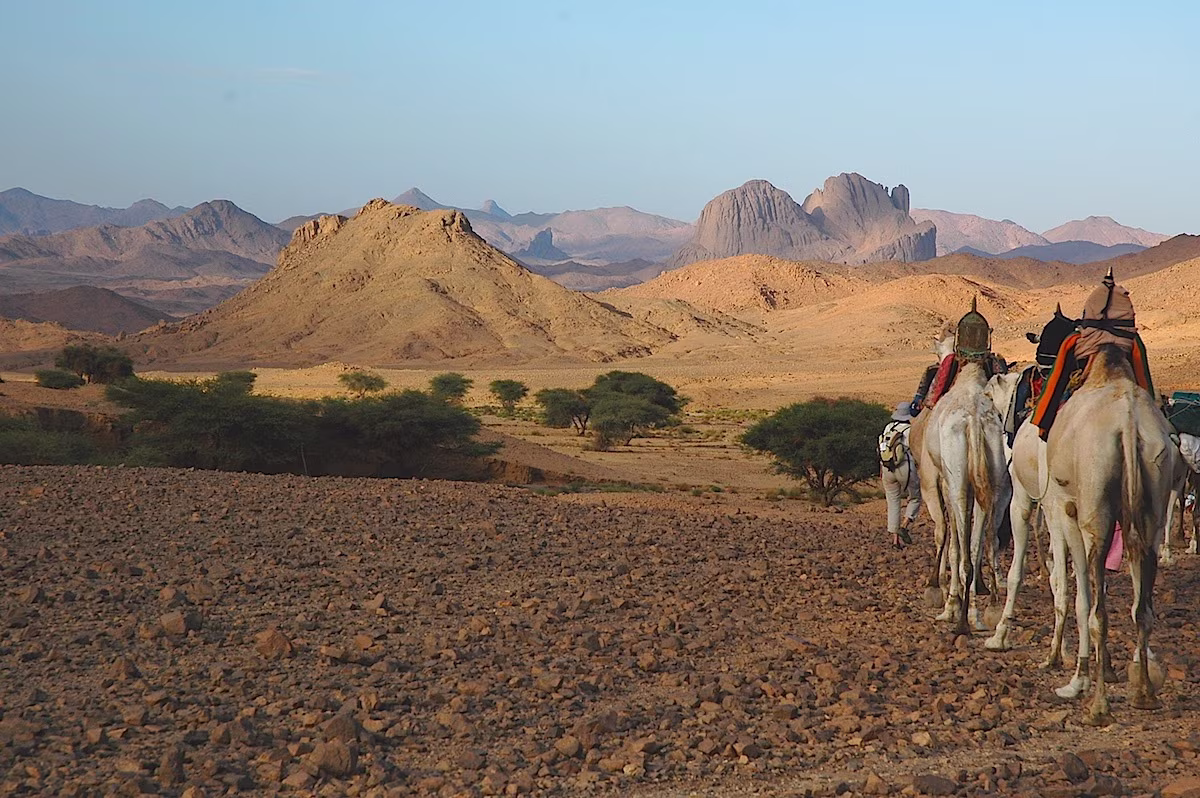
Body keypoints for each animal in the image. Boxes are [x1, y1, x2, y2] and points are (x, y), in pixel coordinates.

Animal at [1041, 344, 1181, 724]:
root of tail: (1128, 424)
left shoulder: (1068, 507)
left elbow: (1082, 596)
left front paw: (1082, 677)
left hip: (1096, 504)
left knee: (1098, 614)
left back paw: (1098, 707)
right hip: (1153, 496)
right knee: (1143, 607)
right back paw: (1145, 694)